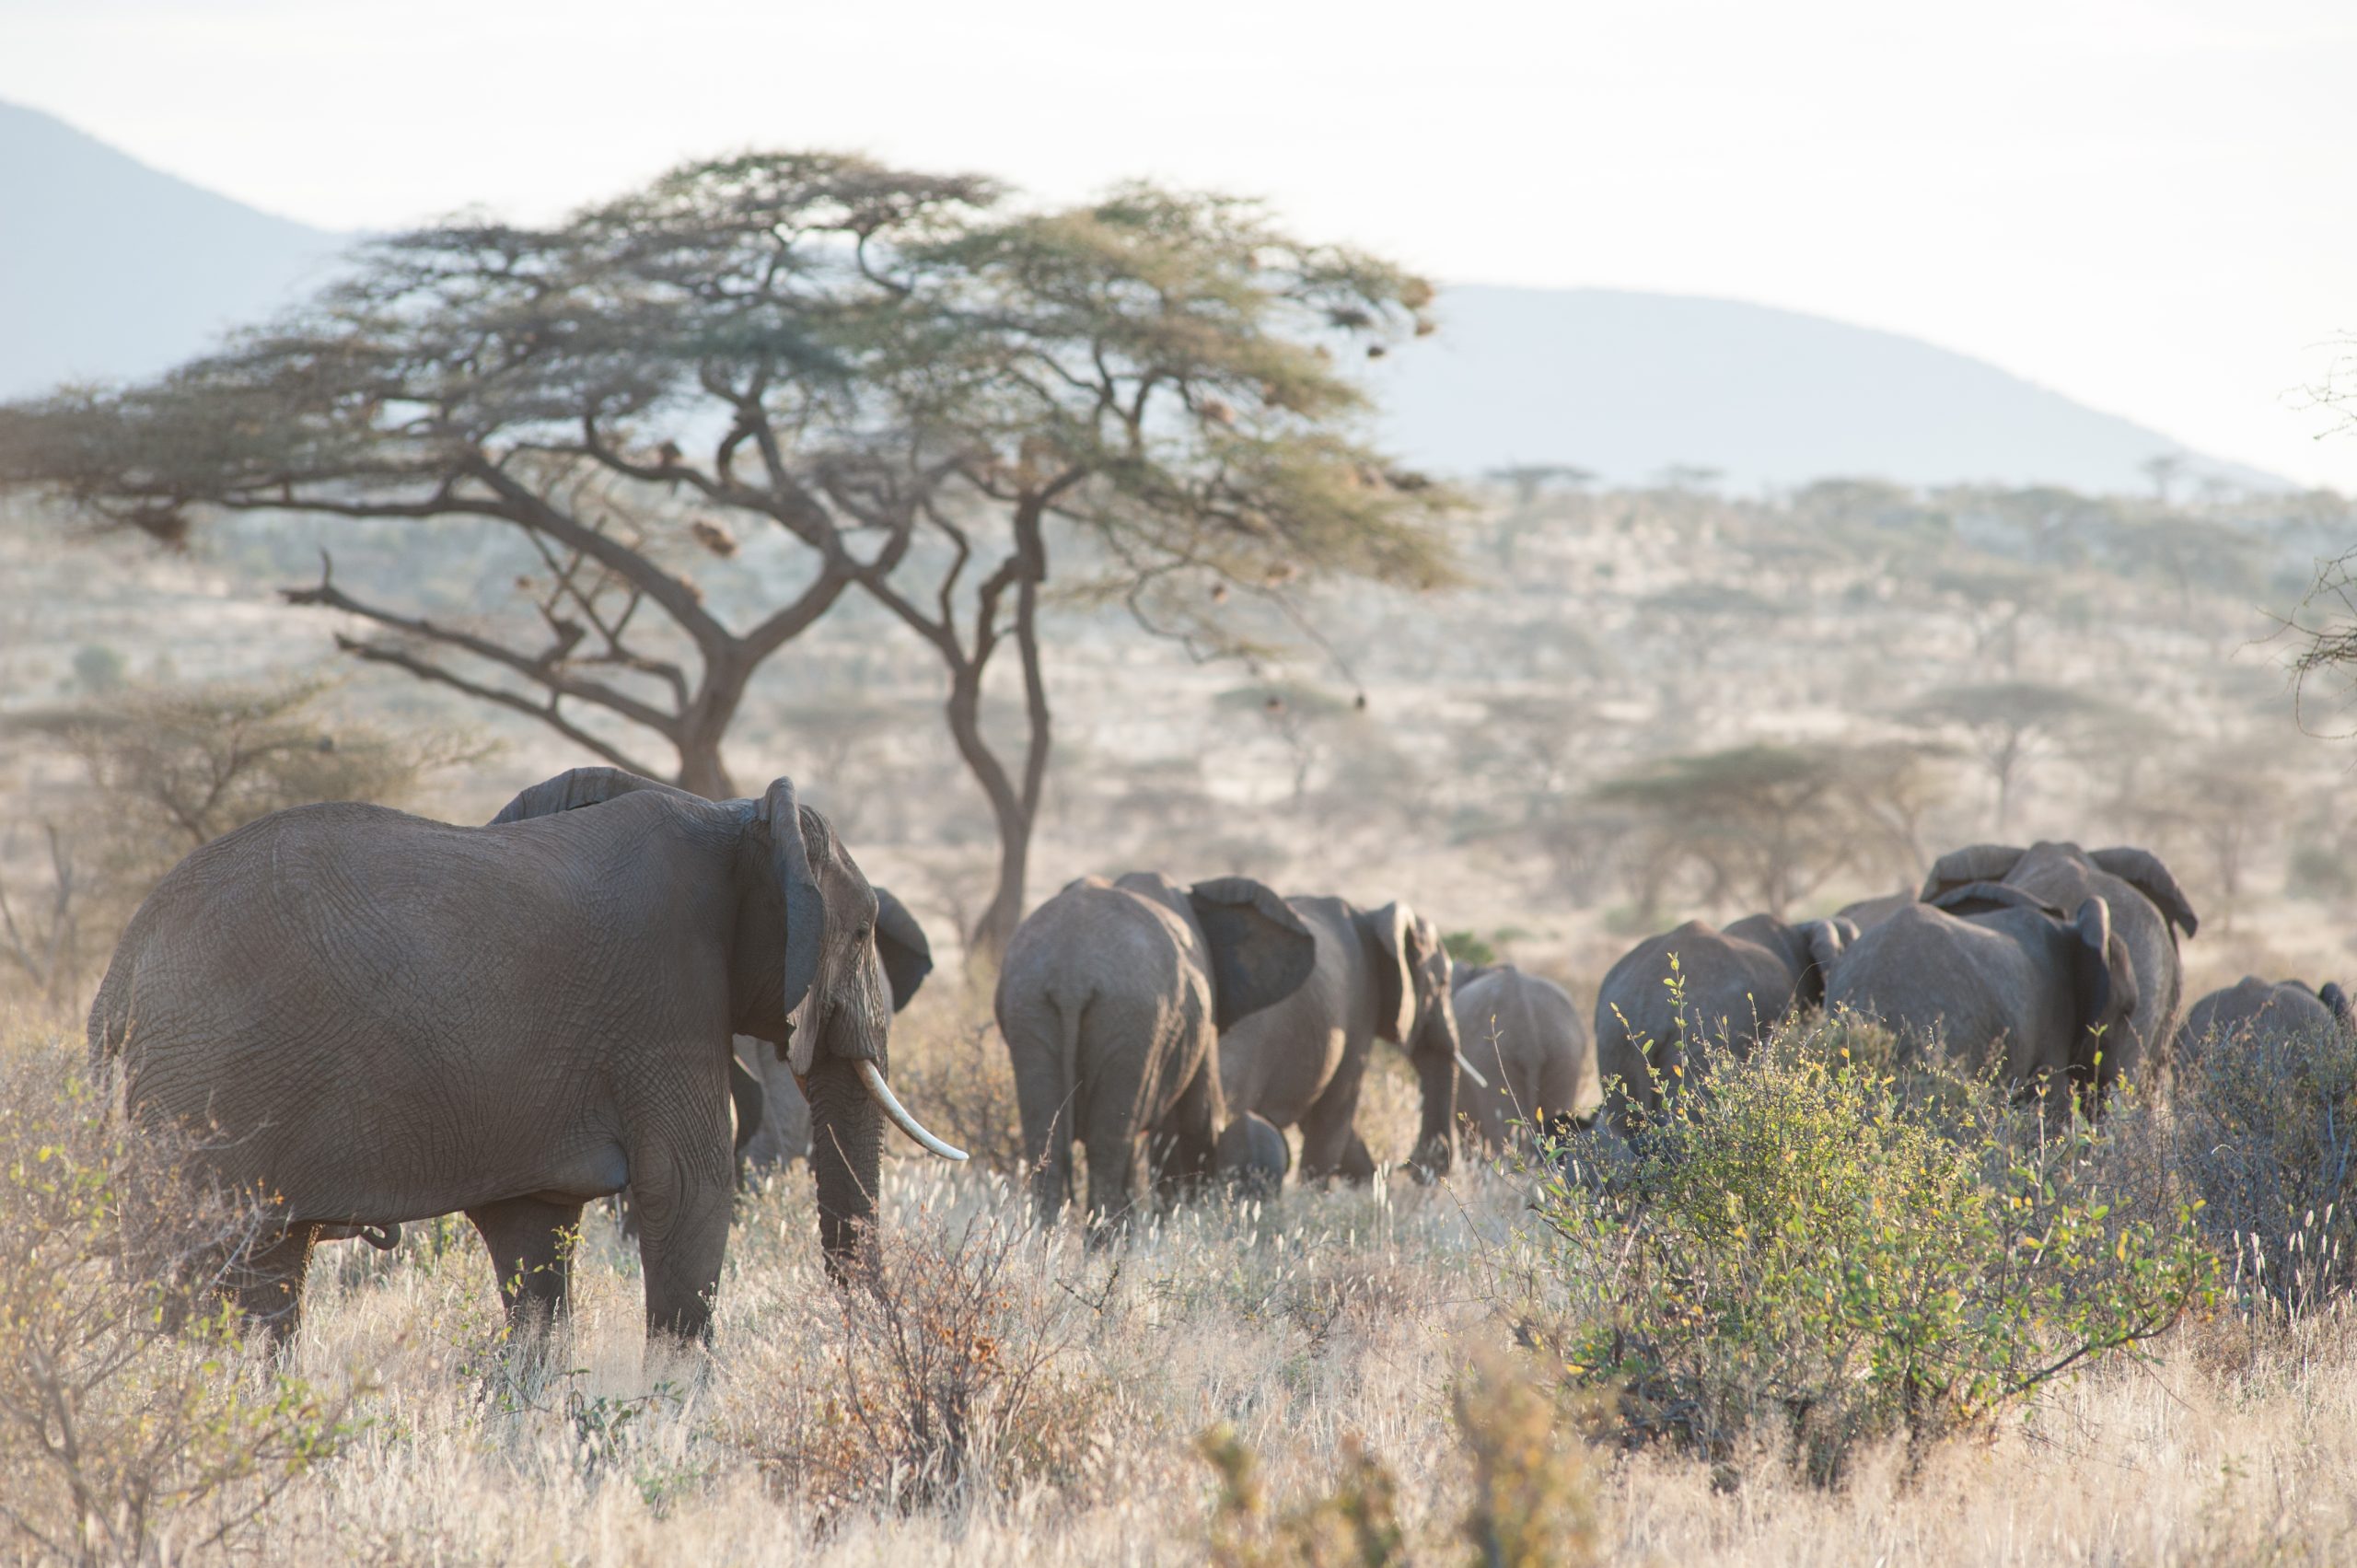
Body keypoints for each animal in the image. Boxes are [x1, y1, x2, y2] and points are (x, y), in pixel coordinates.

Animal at [88, 765, 962, 1346]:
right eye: (860, 932)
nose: (862, 1331)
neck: (738, 817)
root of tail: (121, 970)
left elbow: (533, 1235)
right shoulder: (664, 1000)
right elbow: (688, 1188)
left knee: (267, 1274)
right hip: (204, 1085)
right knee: (194, 1262)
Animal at [996, 872, 1318, 1227]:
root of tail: (1071, 978)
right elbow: (1196, 1121)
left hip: (1032, 1008)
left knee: (1048, 1140)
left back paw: (1048, 1237)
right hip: (1133, 1019)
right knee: (1109, 1146)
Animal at [1216, 894, 1464, 1184]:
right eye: (1444, 983)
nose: (1406, 1166)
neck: (1371, 914)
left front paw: (1369, 1183)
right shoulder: (1359, 1010)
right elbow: (1335, 1113)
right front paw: (1316, 1192)